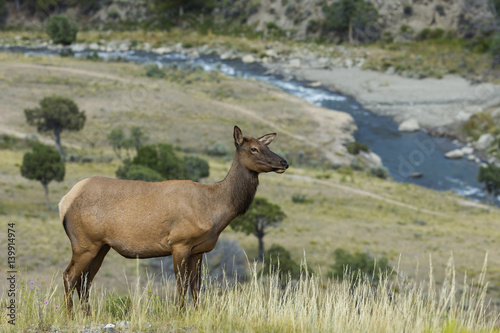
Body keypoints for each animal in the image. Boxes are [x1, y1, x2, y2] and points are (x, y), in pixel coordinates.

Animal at [60, 125, 288, 314]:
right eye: (254, 149)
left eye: (266, 145)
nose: (283, 162)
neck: (214, 209)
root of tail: (64, 202)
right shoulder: (180, 242)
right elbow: (181, 284)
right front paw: (180, 312)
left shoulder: (199, 249)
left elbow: (196, 286)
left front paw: (197, 312)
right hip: (84, 242)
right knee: (69, 276)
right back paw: (70, 316)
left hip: (101, 245)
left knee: (85, 280)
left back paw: (87, 315)